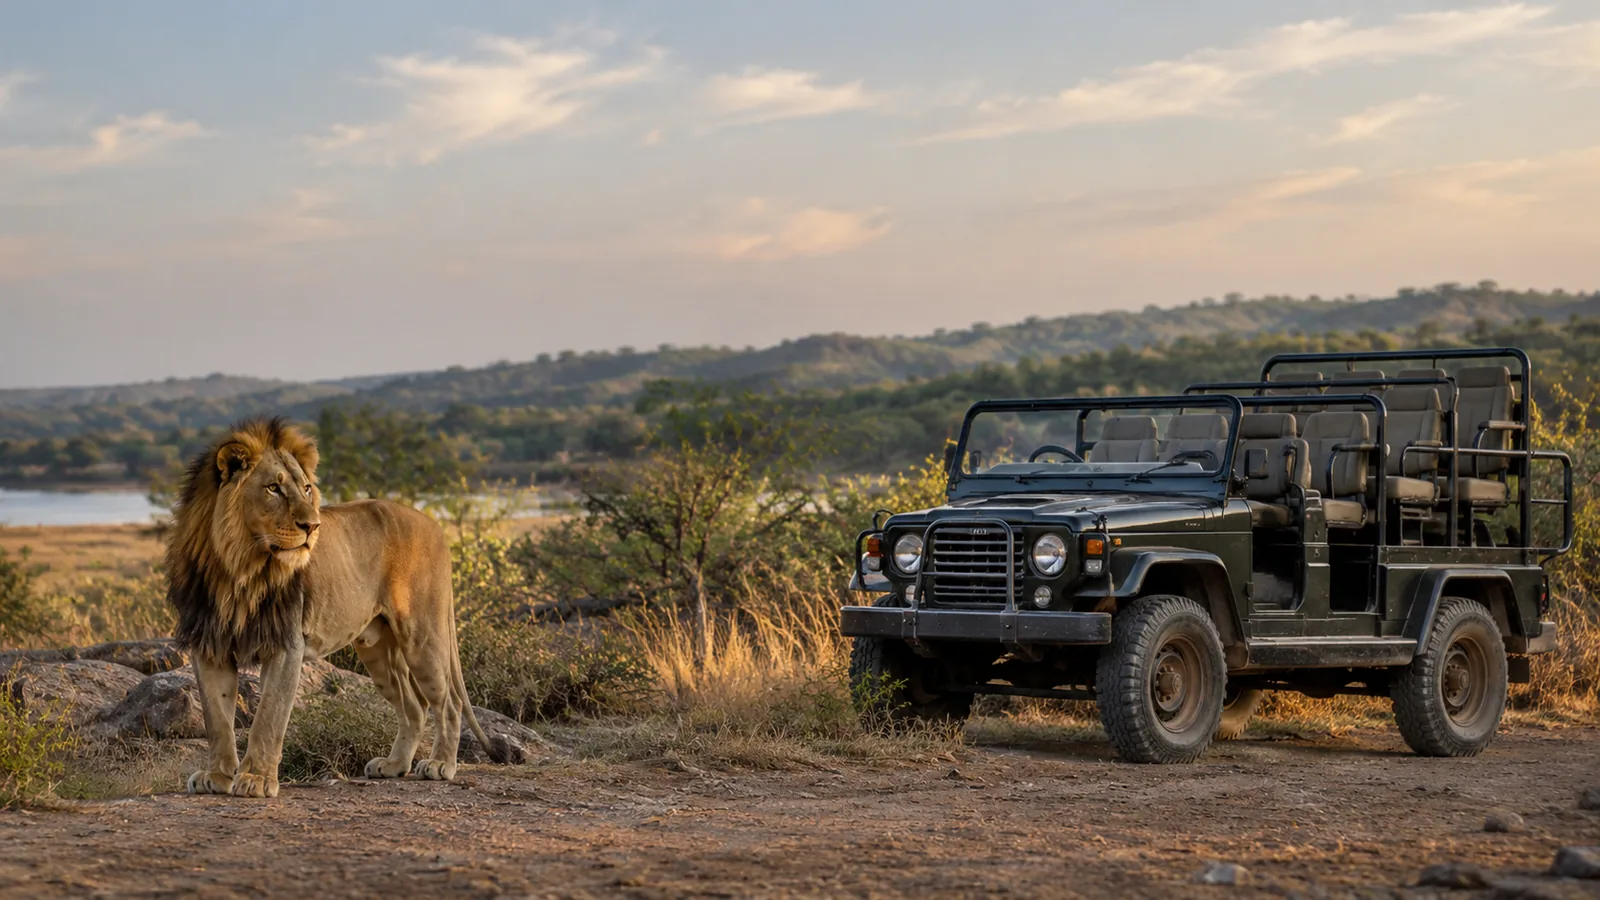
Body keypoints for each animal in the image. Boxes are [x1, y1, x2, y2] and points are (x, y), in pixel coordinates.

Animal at [166, 416, 499, 798]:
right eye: (273, 489)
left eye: (307, 489)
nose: (312, 526)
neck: (237, 569)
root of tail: (435, 524)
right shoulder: (210, 644)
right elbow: (217, 719)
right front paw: (217, 777)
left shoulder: (287, 643)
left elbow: (268, 716)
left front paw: (256, 780)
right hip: (378, 649)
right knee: (414, 706)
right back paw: (394, 765)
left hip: (422, 635)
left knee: (448, 702)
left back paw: (441, 764)